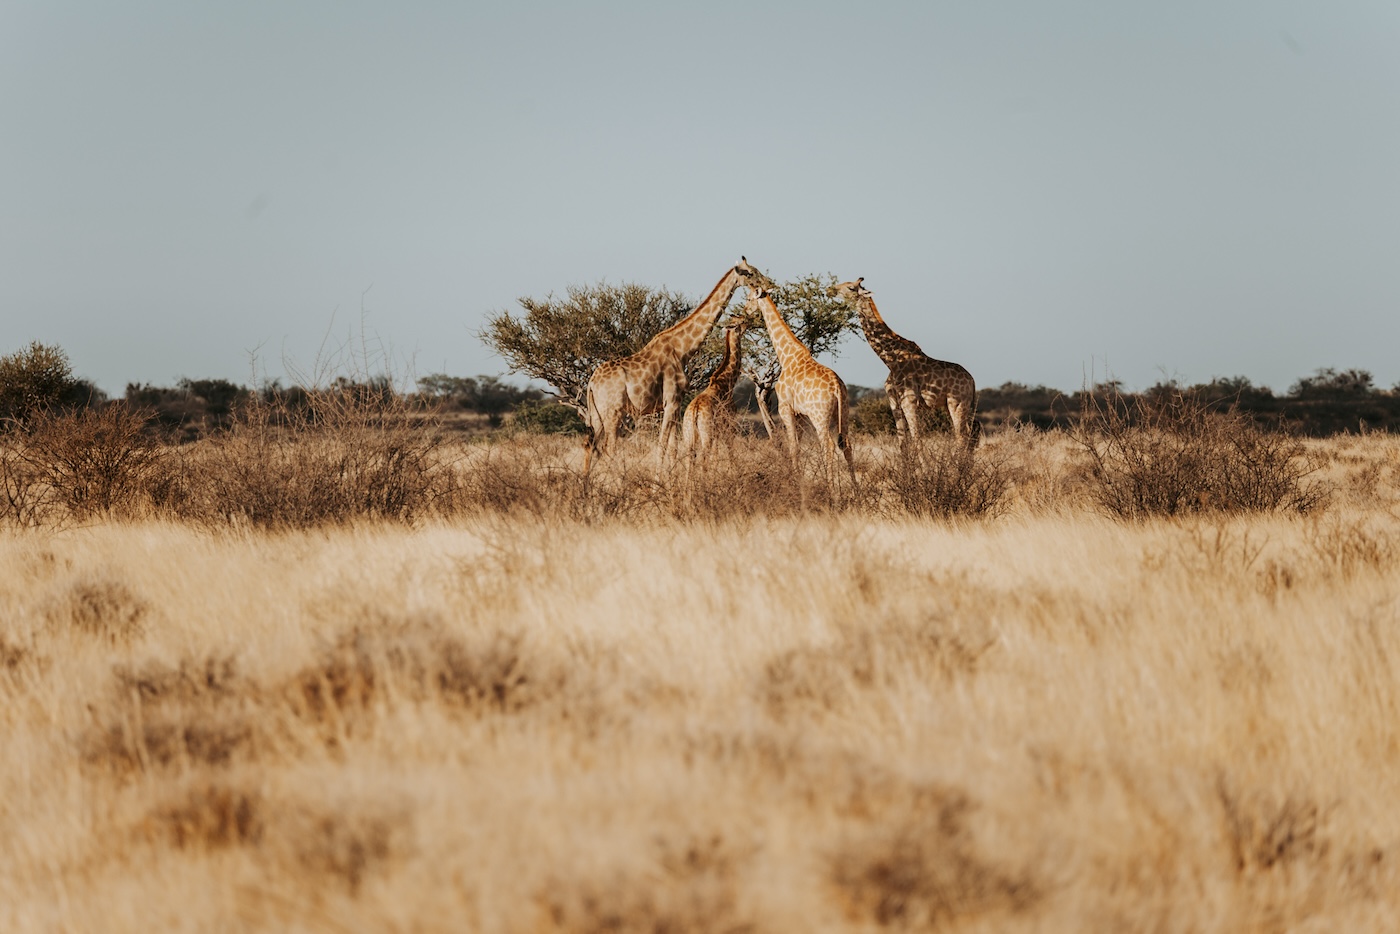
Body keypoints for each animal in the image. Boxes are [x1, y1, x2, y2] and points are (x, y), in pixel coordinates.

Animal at [680, 313, 750, 464]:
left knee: (691, 457)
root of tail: (694, 411)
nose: (749, 322)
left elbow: (716, 456)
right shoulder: (729, 428)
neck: (728, 382)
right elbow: (730, 454)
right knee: (703, 457)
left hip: (689, 435)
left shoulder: (719, 433)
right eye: (740, 322)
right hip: (707, 434)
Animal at [750, 288, 856, 487]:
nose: (743, 310)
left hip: (819, 415)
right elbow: (798, 446)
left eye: (749, 298)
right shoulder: (800, 414)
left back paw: (832, 490)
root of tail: (836, 385)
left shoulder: (785, 408)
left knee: (828, 445)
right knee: (846, 444)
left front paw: (795, 482)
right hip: (843, 411)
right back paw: (856, 489)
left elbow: (793, 447)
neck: (786, 355)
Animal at [828, 277, 985, 448]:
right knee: (972, 434)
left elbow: (917, 439)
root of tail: (972, 381)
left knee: (962, 437)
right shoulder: (894, 401)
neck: (890, 360)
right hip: (964, 405)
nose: (829, 290)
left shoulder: (909, 401)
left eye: (851, 288)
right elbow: (903, 442)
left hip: (956, 402)